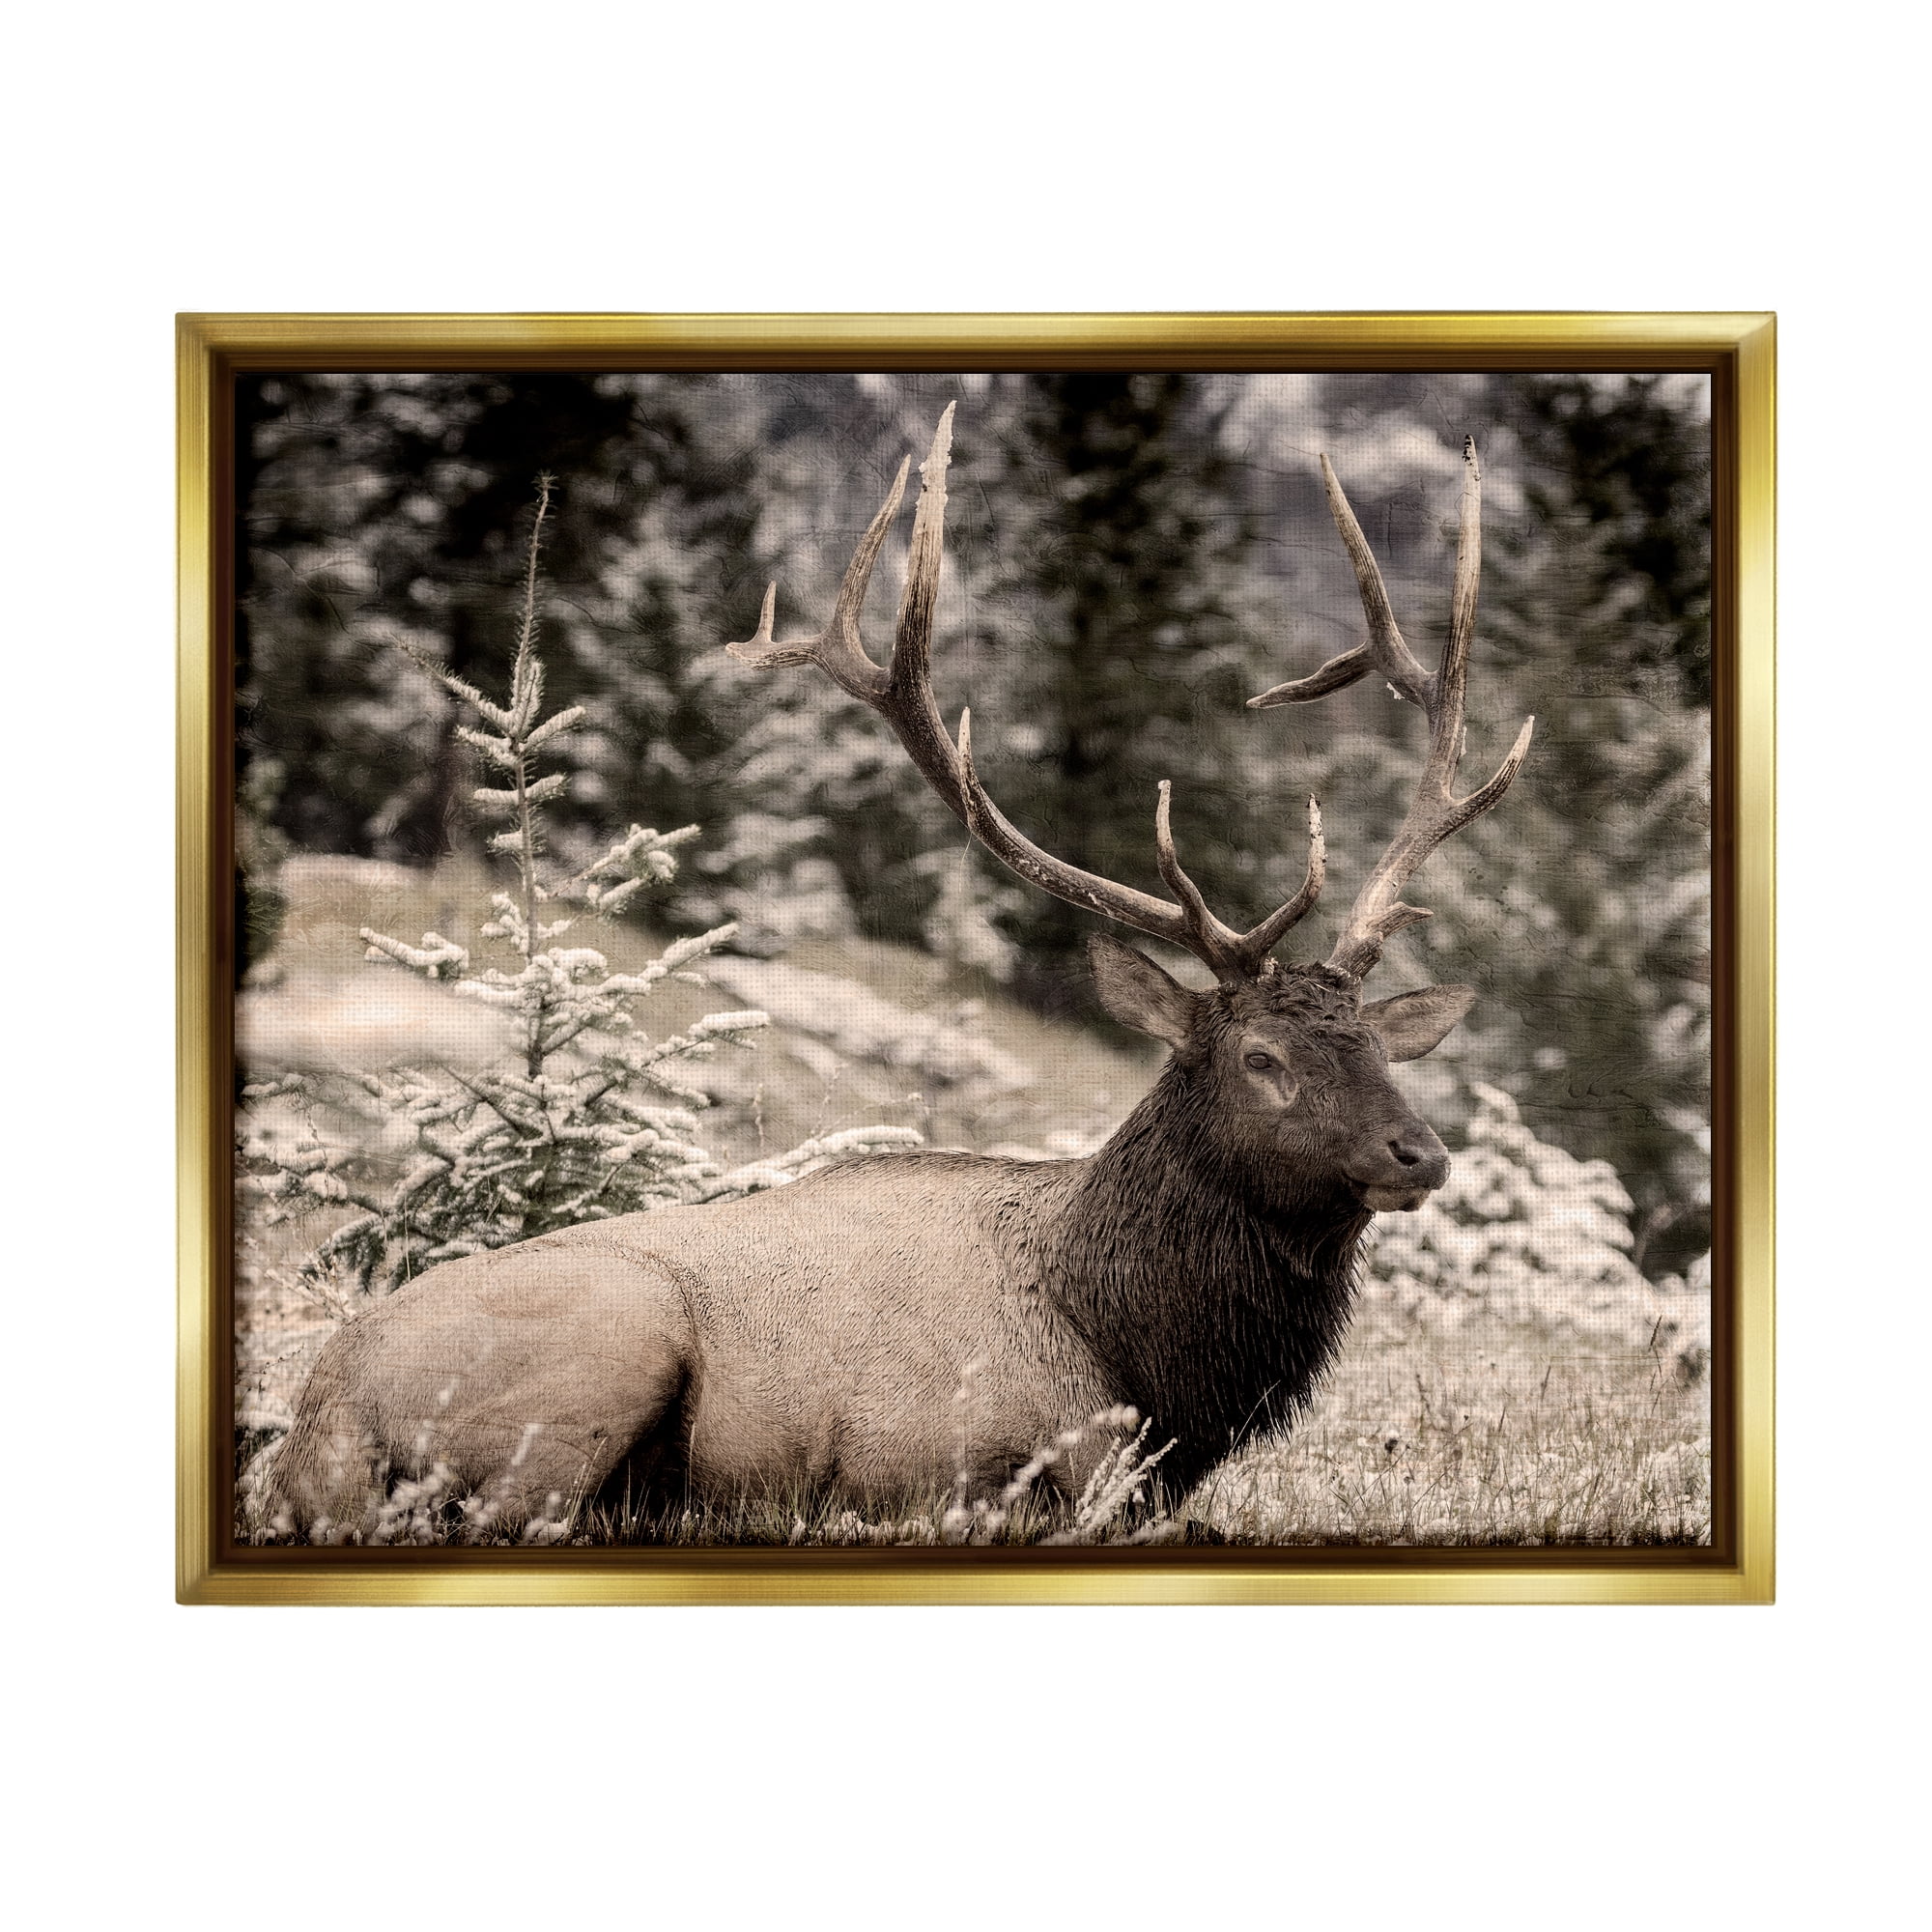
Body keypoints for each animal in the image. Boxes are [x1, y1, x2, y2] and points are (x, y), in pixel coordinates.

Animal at [265, 405, 1533, 1538]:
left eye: (1374, 1045)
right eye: (1260, 1055)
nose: (1418, 1151)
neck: (1143, 1358)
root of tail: (315, 1423)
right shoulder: (958, 1458)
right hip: (608, 1336)